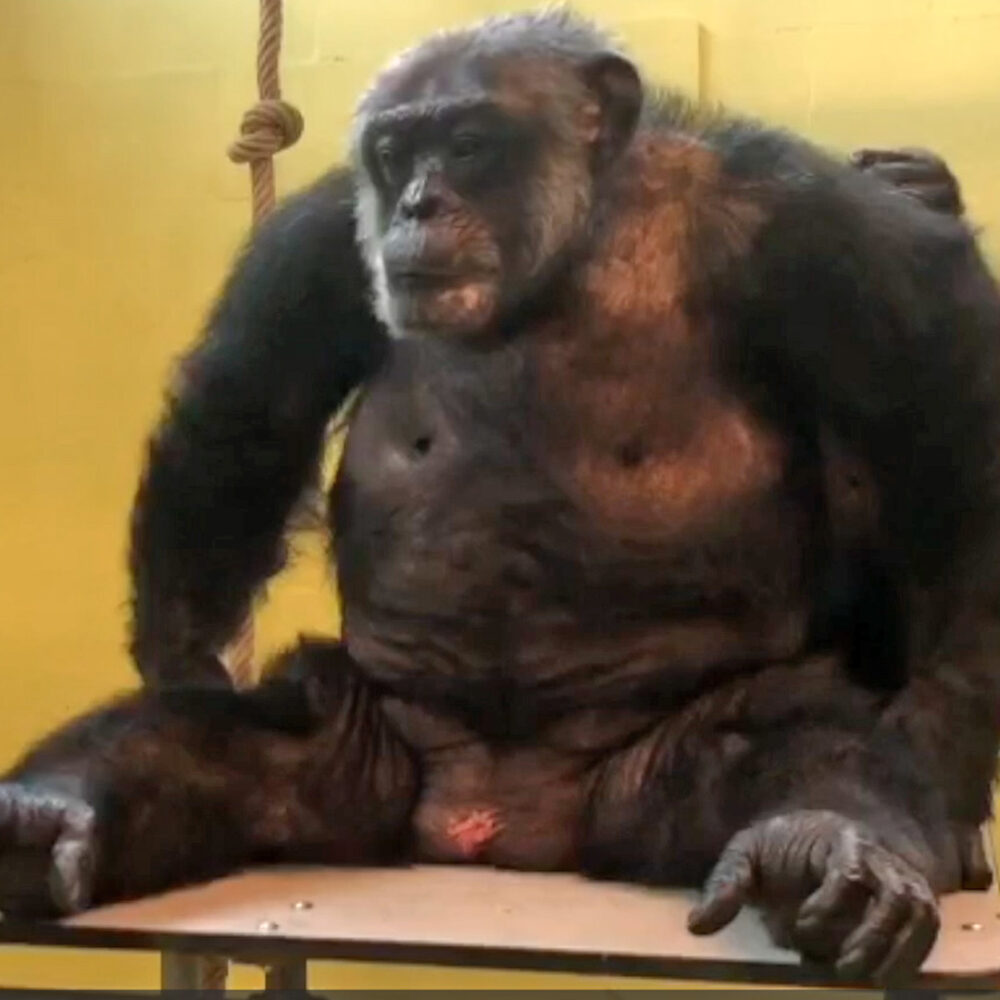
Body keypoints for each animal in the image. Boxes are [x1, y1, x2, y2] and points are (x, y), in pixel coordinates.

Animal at [1, 10, 998, 987]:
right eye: (397, 152)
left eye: (469, 144)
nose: (419, 204)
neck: (569, 250)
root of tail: (493, 830)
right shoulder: (318, 234)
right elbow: (251, 409)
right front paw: (178, 655)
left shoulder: (812, 223)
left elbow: (939, 399)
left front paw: (944, 731)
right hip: (365, 747)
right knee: (226, 739)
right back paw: (46, 818)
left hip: (652, 772)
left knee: (801, 740)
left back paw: (821, 849)